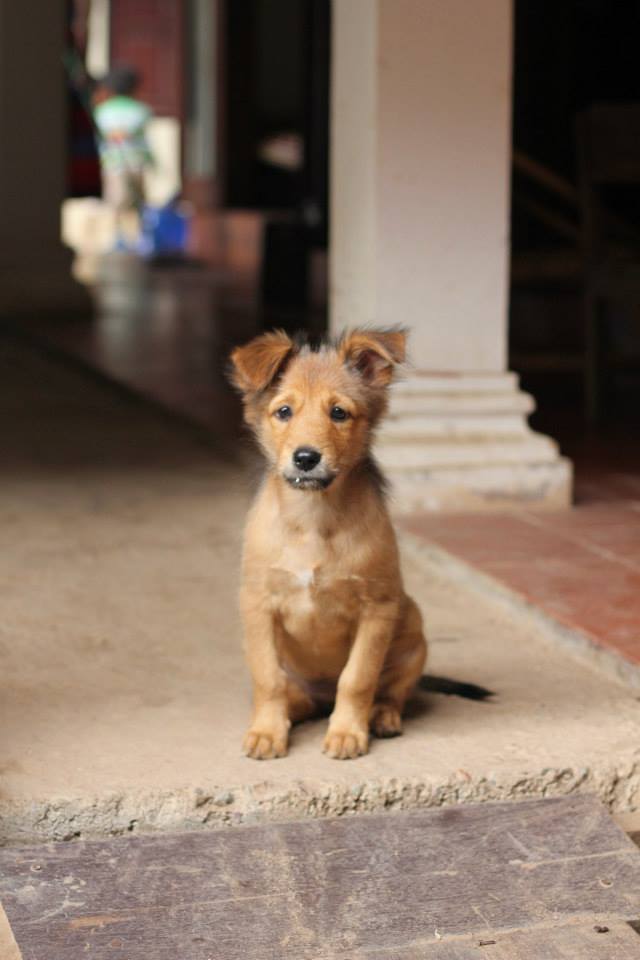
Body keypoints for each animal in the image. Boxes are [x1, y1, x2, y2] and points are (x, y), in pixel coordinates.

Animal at [229, 328, 424, 756]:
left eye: (339, 413)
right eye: (284, 412)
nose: (306, 458)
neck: (313, 519)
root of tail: (318, 698)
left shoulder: (378, 608)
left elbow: (357, 678)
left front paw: (347, 732)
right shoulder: (257, 603)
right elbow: (267, 678)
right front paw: (267, 731)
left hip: (414, 632)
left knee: (391, 691)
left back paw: (383, 716)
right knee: (290, 694)